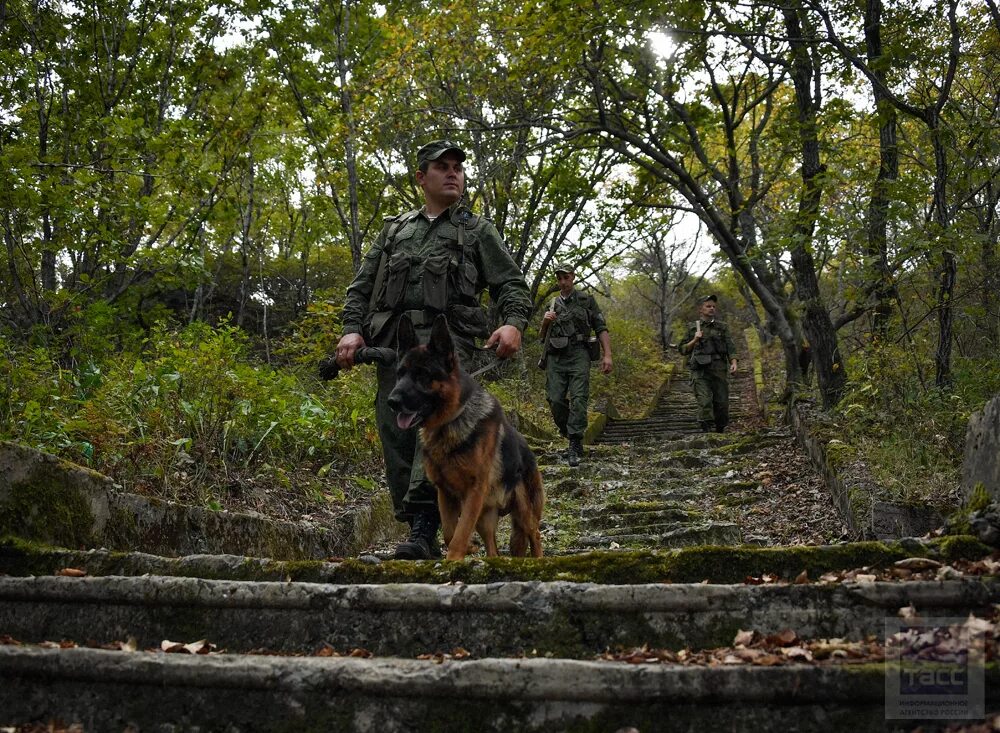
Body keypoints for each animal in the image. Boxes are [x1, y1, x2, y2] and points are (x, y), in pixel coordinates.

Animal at [386, 312, 544, 556]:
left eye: (423, 375)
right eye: (400, 374)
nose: (392, 402)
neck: (450, 422)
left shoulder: (474, 492)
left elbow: (458, 536)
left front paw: (454, 557)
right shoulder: (445, 494)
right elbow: (450, 533)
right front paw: (468, 548)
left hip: (523, 509)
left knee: (534, 534)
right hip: (485, 517)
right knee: (493, 546)